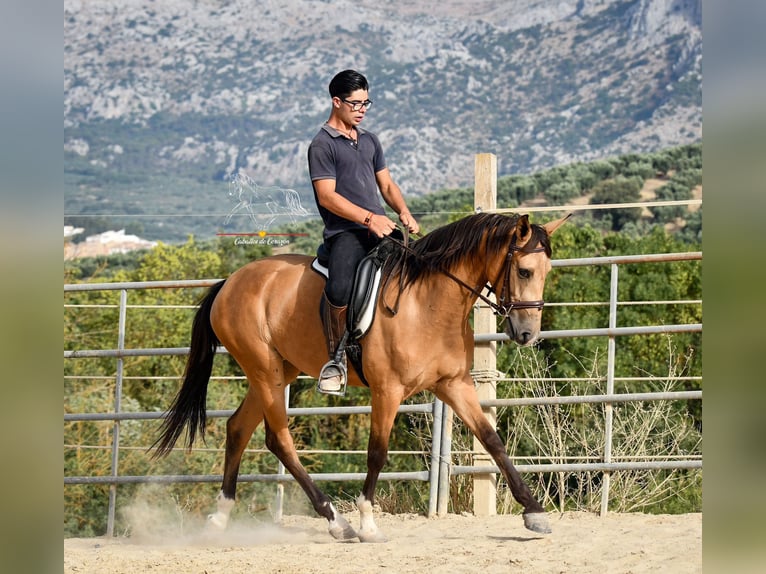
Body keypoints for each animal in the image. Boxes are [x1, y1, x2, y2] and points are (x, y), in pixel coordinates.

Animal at [153, 213, 568, 544]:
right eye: (524, 271)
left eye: (547, 273)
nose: (528, 334)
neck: (429, 303)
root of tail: (229, 282)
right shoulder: (387, 390)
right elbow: (377, 452)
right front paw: (369, 523)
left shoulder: (454, 385)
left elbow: (492, 440)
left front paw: (534, 513)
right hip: (263, 370)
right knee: (279, 439)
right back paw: (338, 522)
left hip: (276, 372)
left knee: (239, 428)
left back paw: (220, 518)